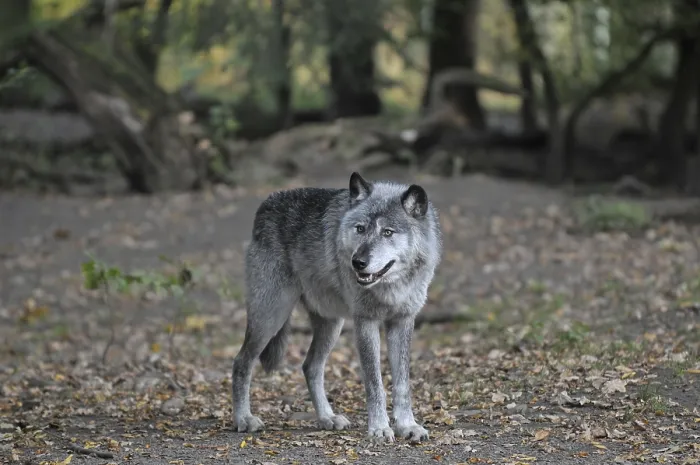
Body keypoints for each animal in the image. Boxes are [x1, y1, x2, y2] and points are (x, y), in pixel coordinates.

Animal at [231, 172, 442, 442]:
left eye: (388, 232)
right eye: (360, 229)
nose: (358, 262)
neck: (390, 286)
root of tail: (266, 202)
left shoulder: (402, 321)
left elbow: (403, 384)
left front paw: (407, 426)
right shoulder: (365, 322)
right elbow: (375, 384)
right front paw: (379, 428)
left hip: (331, 325)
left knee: (310, 366)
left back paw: (327, 418)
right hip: (270, 317)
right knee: (241, 362)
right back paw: (244, 419)